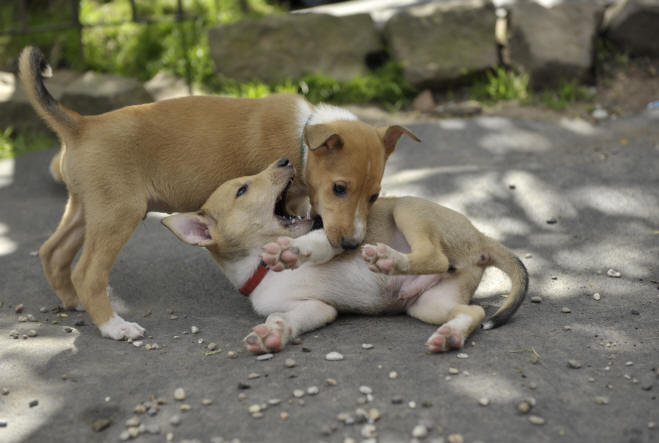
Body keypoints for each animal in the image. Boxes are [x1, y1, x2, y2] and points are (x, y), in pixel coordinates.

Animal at [19, 46, 419, 340]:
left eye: (373, 196)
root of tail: (82, 125)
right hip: (118, 212)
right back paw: (115, 326)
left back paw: (75, 303)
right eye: (339, 188)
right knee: (86, 271)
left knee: (53, 253)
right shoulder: (288, 195)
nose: (352, 245)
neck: (302, 135)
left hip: (85, 208)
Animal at [163, 159, 528, 353]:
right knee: (473, 311)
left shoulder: (344, 235)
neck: (260, 265)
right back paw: (450, 334)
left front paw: (294, 250)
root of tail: (480, 237)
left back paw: (388, 259)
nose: (285, 161)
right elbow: (292, 317)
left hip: (408, 209)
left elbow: (319, 242)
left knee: (434, 256)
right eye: (242, 190)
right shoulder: (316, 307)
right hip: (428, 304)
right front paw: (273, 334)